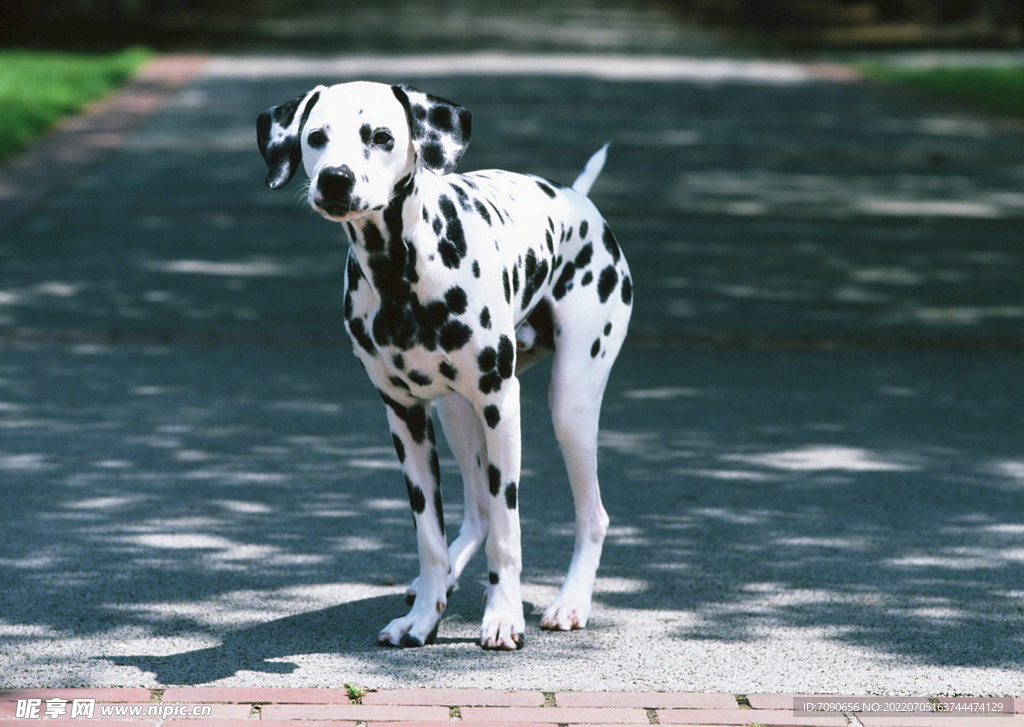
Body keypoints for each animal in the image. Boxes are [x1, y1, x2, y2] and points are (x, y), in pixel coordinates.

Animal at [260, 82, 626, 651]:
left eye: (381, 136)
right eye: (315, 136)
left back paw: (570, 602)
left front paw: (503, 616)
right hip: (458, 416)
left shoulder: (501, 406)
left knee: (591, 515)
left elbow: (508, 532)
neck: (400, 274)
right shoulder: (405, 418)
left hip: (570, 407)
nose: (335, 179)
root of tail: (576, 199)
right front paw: (423, 617)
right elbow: (430, 534)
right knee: (478, 511)